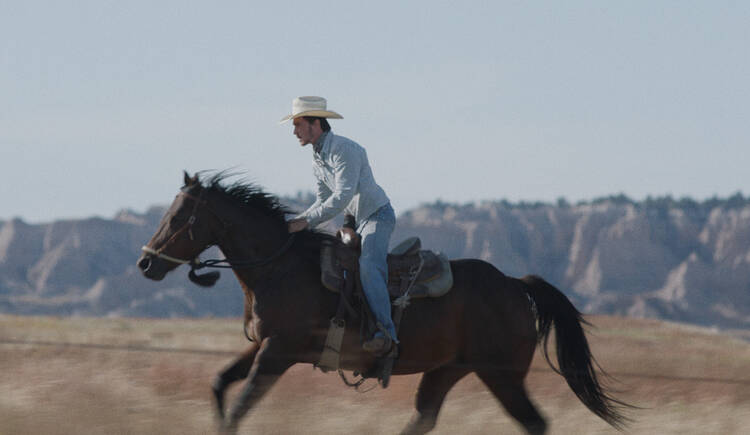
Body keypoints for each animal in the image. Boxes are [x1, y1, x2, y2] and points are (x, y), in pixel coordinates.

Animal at [138, 172, 632, 434]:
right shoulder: (263, 347)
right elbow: (220, 383)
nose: (146, 263)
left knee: (533, 423)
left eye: (180, 217)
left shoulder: (279, 353)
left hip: (502, 375)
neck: (280, 267)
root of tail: (515, 284)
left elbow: (241, 404)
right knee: (424, 418)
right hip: (447, 370)